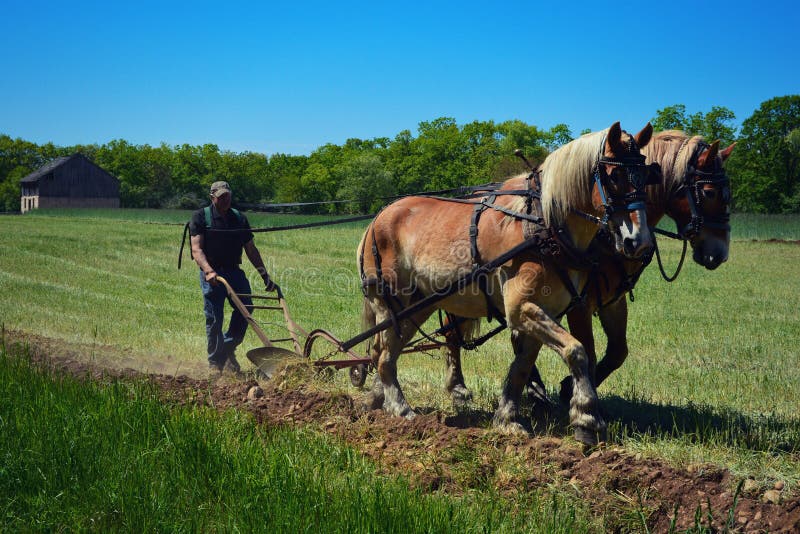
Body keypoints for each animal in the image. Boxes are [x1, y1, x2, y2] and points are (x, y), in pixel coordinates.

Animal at [357, 122, 655, 446]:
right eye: (614, 176)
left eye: (647, 177)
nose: (639, 242)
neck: (542, 225)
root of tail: (377, 219)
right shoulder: (521, 308)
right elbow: (577, 351)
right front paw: (588, 418)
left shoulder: (544, 310)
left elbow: (522, 367)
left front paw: (507, 419)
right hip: (391, 301)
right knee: (384, 353)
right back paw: (401, 409)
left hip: (418, 306)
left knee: (385, 350)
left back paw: (378, 401)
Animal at [442, 130, 735, 410]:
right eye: (709, 192)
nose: (719, 253)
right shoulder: (579, 304)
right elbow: (590, 351)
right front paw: (578, 395)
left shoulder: (612, 301)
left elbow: (618, 352)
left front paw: (567, 388)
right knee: (451, 329)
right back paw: (459, 388)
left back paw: (532, 389)